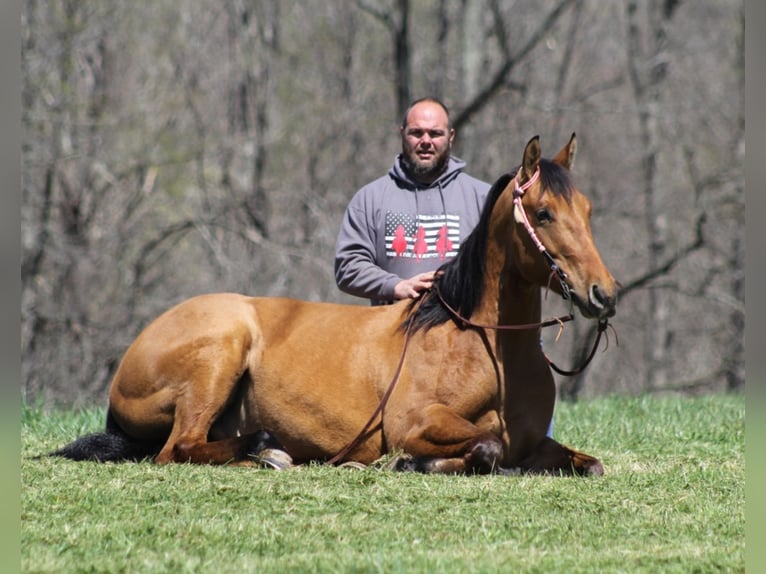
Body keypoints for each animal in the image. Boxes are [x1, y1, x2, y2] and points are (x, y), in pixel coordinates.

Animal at [51, 135, 616, 476]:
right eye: (543, 213)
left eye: (588, 210)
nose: (604, 294)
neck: (480, 346)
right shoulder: (416, 424)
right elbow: (487, 447)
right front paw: (411, 464)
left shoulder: (537, 442)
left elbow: (588, 464)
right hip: (218, 354)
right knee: (179, 450)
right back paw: (266, 453)